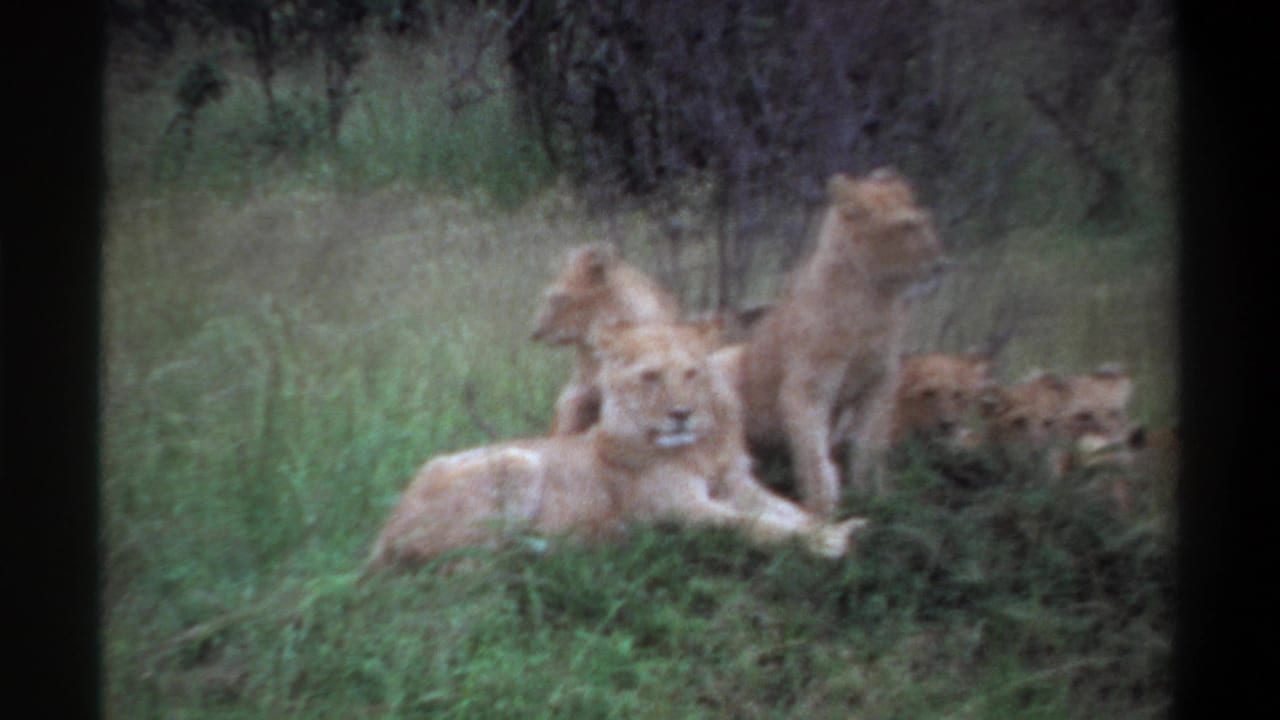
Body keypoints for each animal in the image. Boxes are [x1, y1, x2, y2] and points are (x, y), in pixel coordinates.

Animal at [366, 322, 867, 573]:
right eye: (650, 377)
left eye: (691, 373)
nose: (681, 413)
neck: (698, 449)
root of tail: (383, 532)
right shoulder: (679, 511)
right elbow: (754, 525)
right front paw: (826, 542)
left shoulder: (737, 485)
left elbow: (790, 511)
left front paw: (840, 527)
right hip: (517, 460)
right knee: (467, 560)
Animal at [736, 169, 947, 515]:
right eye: (906, 226)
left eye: (925, 219)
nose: (941, 262)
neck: (873, 300)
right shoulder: (807, 387)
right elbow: (814, 455)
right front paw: (823, 511)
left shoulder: (882, 381)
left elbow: (870, 447)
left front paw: (875, 498)